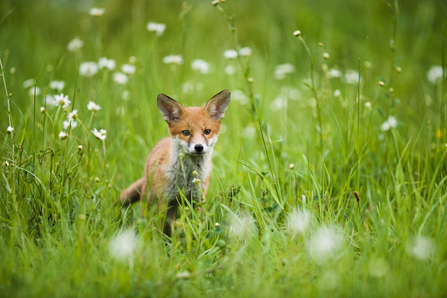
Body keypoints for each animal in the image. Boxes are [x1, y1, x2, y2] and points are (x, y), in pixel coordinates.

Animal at [119, 88, 231, 237]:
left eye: (207, 131)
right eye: (186, 132)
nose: (199, 147)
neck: (186, 178)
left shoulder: (196, 200)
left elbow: (194, 228)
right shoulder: (167, 201)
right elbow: (166, 231)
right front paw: (167, 243)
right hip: (148, 198)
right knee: (145, 218)